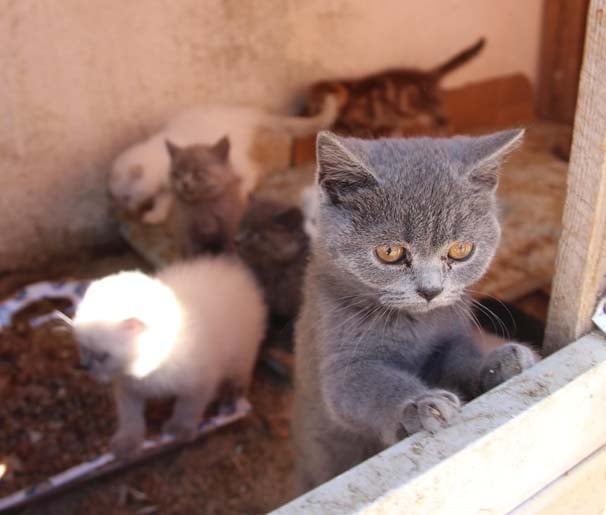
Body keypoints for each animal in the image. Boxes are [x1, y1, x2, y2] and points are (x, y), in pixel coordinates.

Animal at [72, 258, 268, 460]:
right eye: (83, 349)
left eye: (103, 356)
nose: (85, 367)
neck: (147, 372)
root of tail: (231, 266)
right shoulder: (128, 389)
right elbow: (130, 418)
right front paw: (127, 443)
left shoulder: (200, 385)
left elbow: (186, 408)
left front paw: (179, 430)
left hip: (242, 353)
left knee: (242, 377)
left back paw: (231, 398)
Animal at [108, 95, 338, 225]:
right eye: (119, 199)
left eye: (127, 197)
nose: (127, 211)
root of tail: (246, 112)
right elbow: (163, 199)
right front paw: (155, 214)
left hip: (233, 156)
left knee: (253, 170)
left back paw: (244, 189)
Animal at [294, 129, 536, 492]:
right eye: (390, 252)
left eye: (460, 250)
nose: (430, 290)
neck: (415, 324)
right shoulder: (341, 359)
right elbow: (370, 384)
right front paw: (422, 404)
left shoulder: (452, 335)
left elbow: (462, 359)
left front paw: (502, 362)